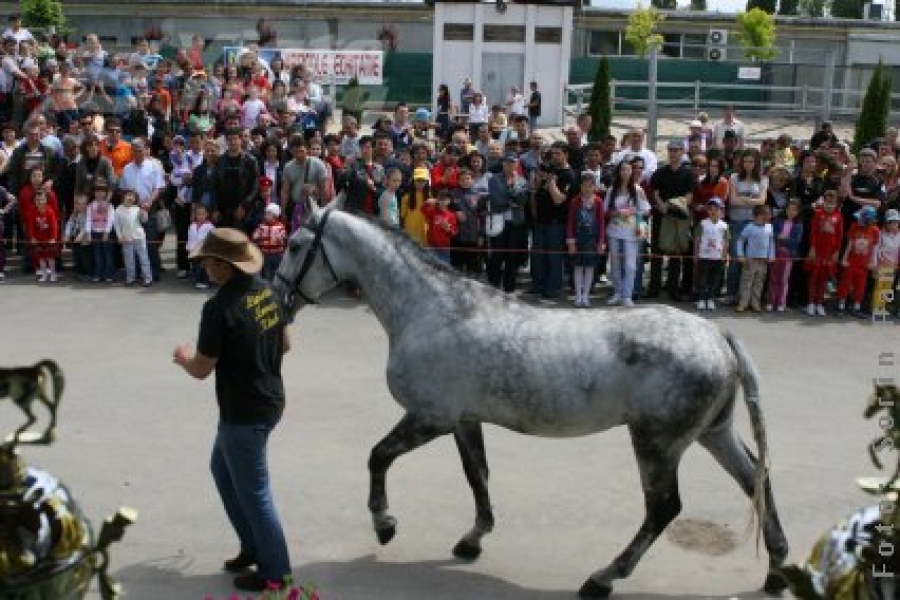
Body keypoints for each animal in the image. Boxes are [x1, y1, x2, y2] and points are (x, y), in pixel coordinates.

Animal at [272, 205, 788, 596]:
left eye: (295, 246)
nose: (276, 297)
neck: (432, 310)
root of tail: (717, 335)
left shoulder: (429, 417)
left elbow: (378, 457)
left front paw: (385, 524)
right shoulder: (464, 420)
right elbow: (477, 476)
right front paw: (472, 540)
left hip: (657, 444)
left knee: (663, 510)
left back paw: (603, 578)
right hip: (712, 433)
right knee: (755, 480)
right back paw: (777, 571)